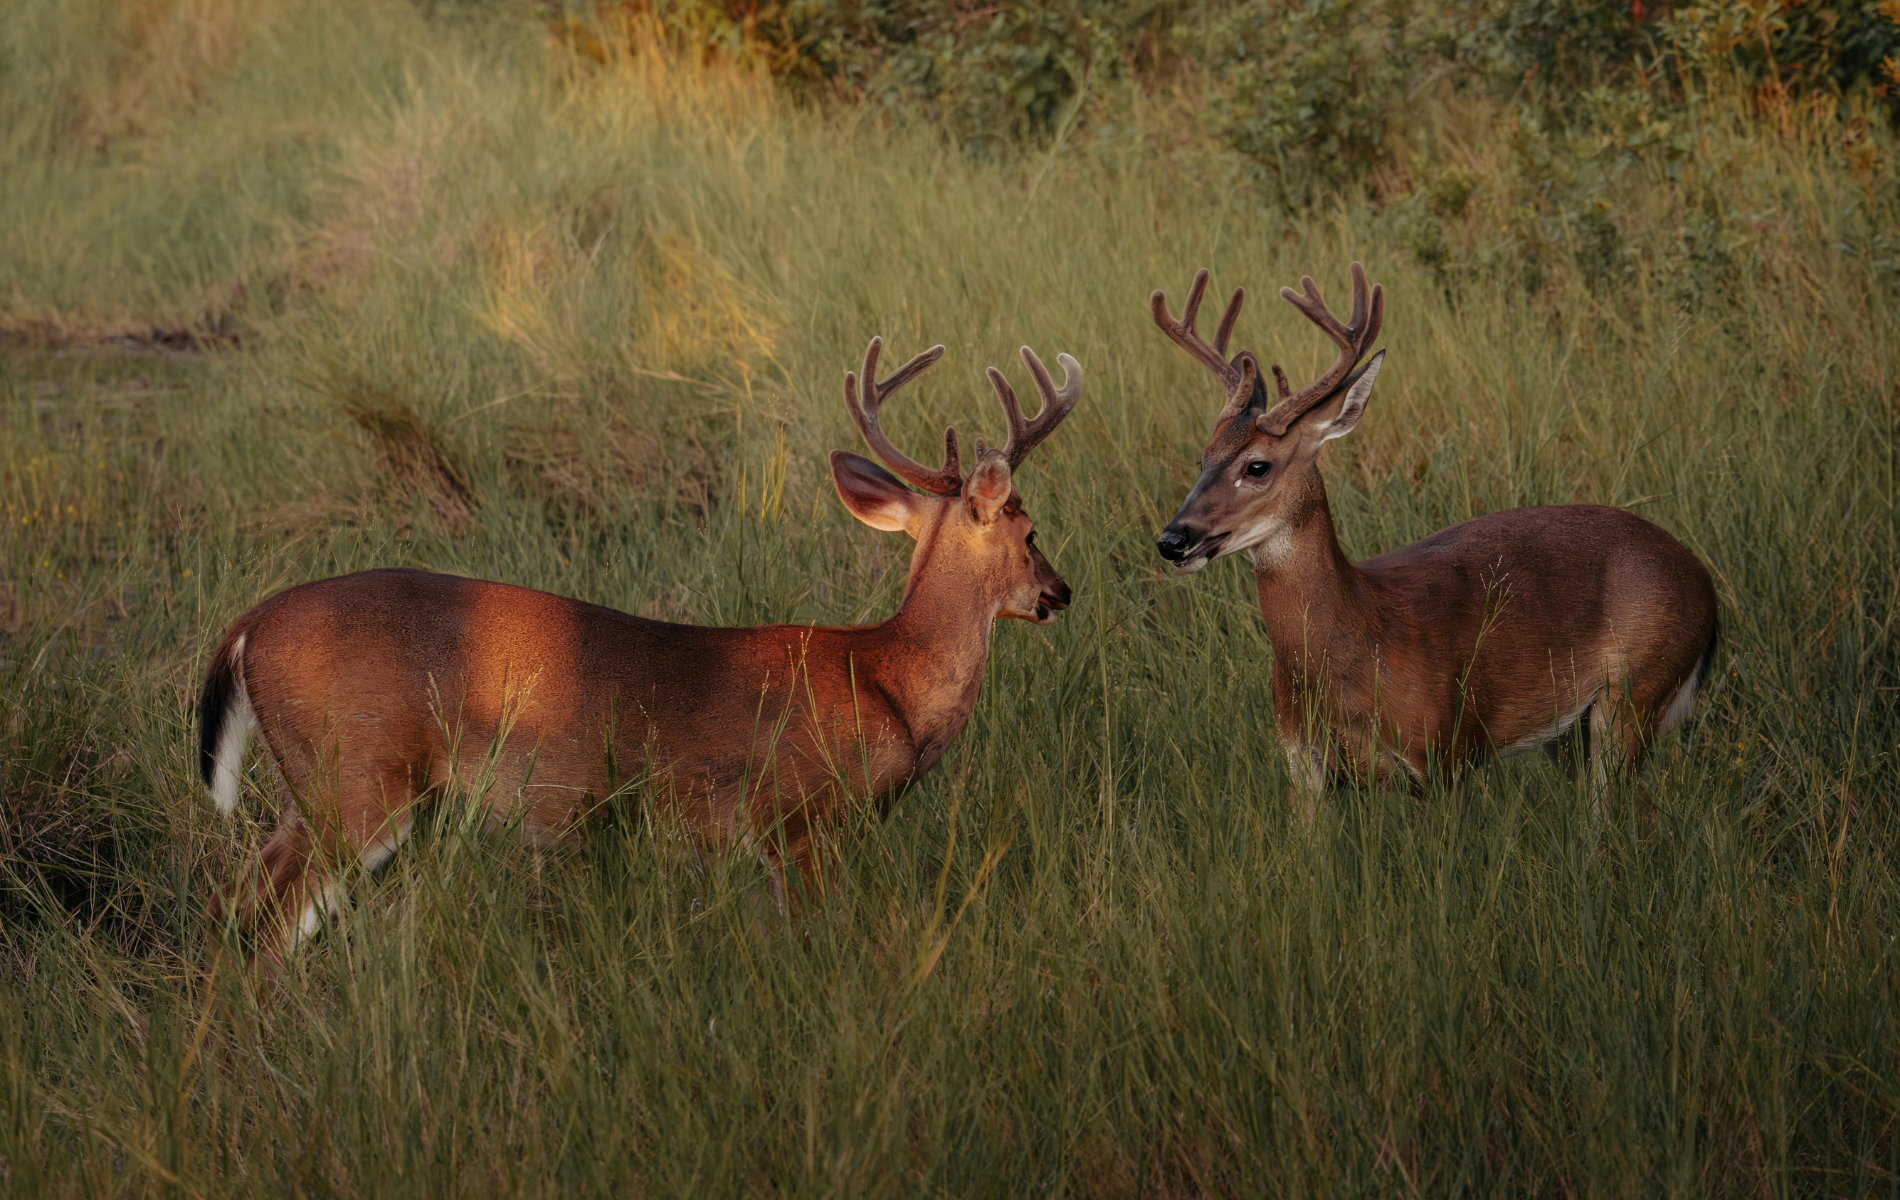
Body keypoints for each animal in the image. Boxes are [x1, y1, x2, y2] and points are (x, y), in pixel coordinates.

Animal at [197, 336, 1080, 959]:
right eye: (1032, 532)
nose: (1060, 593)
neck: (887, 681)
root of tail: (247, 627)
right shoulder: (797, 820)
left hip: (312, 783)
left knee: (233, 903)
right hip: (361, 779)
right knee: (267, 925)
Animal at [1150, 261, 1718, 799]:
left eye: (1258, 466)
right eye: (1201, 459)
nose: (1172, 540)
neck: (1361, 638)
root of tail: (1705, 585)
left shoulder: (1446, 751)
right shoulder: (1301, 767)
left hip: (1638, 688)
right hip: (1571, 732)